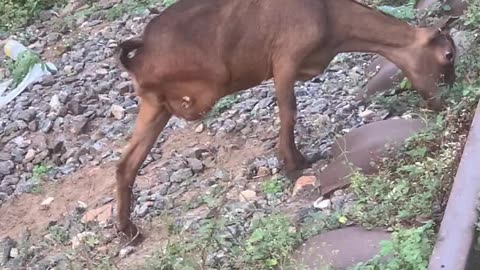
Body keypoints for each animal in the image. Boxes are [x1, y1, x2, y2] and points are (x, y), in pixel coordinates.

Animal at [114, 0, 456, 239]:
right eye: (448, 55)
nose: (445, 99)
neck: (330, 15)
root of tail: (140, 52)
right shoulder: (284, 59)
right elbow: (289, 112)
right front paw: (293, 164)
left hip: (154, 106)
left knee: (126, 163)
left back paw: (129, 231)